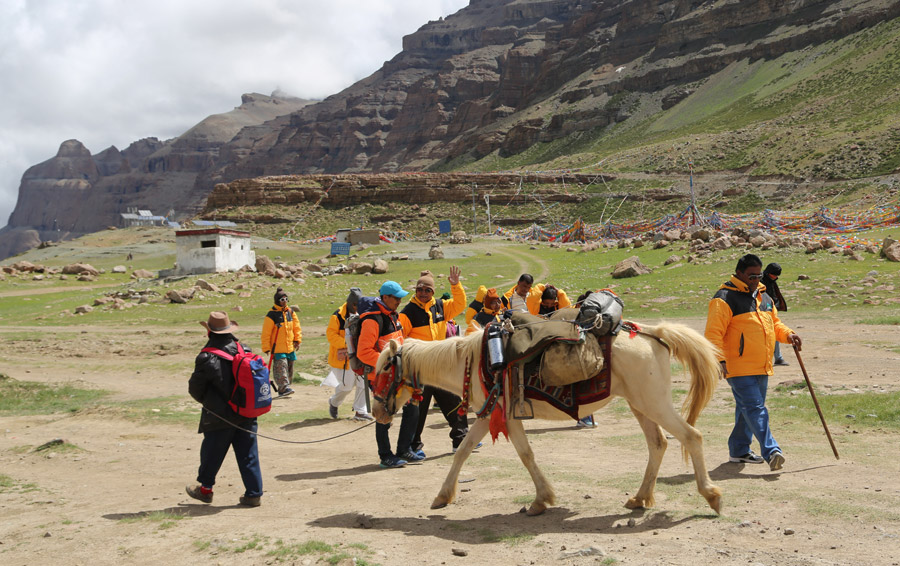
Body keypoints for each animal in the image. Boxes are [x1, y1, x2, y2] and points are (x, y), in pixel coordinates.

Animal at [372, 322, 724, 516]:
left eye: (385, 368)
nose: (377, 412)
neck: (471, 359)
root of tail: (655, 333)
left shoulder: (503, 414)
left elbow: (525, 454)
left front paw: (542, 500)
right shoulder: (488, 416)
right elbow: (463, 451)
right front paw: (443, 496)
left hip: (653, 403)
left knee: (691, 436)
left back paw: (711, 495)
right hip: (641, 404)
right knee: (658, 444)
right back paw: (640, 498)